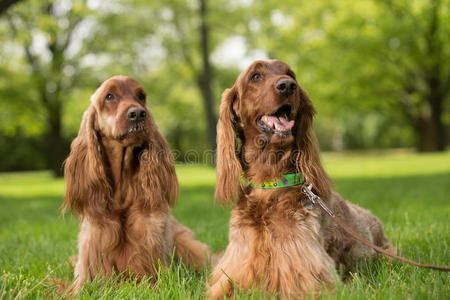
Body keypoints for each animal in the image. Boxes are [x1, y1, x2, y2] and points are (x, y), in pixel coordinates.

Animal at [62, 75, 214, 292]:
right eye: (109, 96)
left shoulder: (152, 270)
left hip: (186, 245)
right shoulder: (89, 273)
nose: (138, 113)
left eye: (141, 96)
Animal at [207, 59, 394, 298]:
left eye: (290, 74)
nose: (287, 86)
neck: (270, 184)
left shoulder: (310, 274)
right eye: (255, 76)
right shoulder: (232, 270)